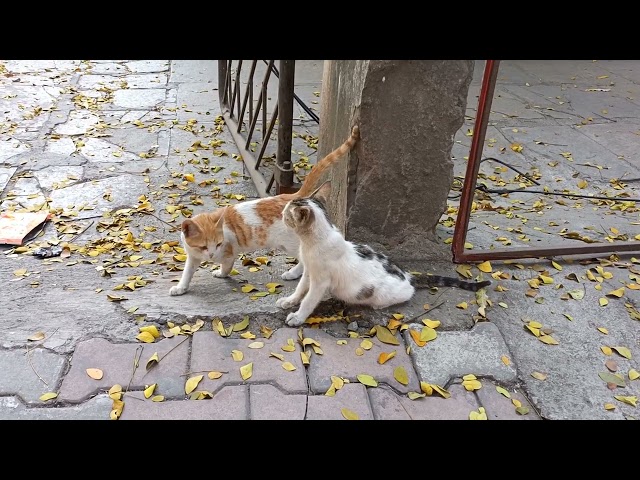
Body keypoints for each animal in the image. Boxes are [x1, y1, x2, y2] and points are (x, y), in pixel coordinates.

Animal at [170, 124, 360, 296]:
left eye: (218, 244)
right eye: (203, 246)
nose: (210, 255)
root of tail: (292, 196)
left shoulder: (229, 252)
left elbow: (226, 266)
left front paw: (221, 273)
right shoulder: (192, 256)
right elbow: (187, 272)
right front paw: (181, 287)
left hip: (292, 244)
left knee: (304, 261)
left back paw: (293, 273)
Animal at [278, 182, 492, 328]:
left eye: (287, 215)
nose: (280, 214)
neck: (310, 245)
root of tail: (408, 275)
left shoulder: (320, 281)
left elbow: (309, 300)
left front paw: (298, 316)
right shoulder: (309, 271)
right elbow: (300, 288)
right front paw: (289, 301)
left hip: (384, 294)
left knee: (405, 294)